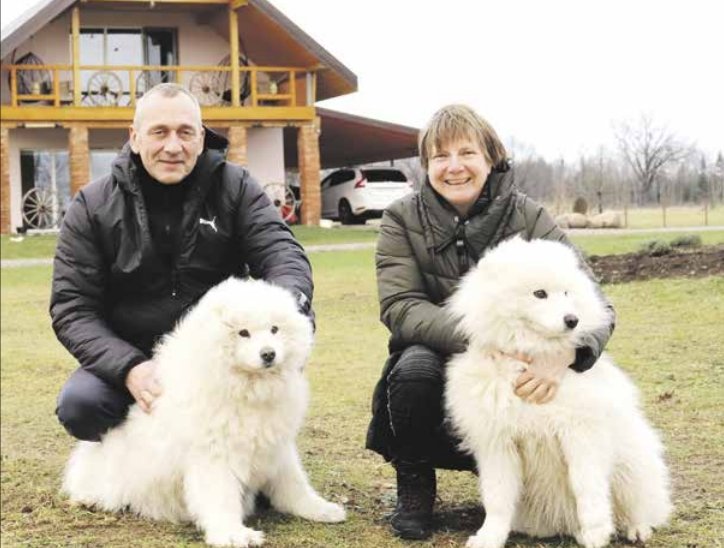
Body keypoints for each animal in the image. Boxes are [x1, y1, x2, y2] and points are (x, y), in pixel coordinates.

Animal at [63, 278, 345, 547]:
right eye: (243, 333)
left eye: (275, 329)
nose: (269, 354)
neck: (245, 389)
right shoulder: (214, 454)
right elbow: (221, 497)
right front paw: (232, 534)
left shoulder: (275, 445)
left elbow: (294, 484)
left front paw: (320, 509)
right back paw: (90, 498)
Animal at [444, 237, 671, 548]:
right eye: (539, 293)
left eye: (566, 292)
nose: (572, 320)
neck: (529, 355)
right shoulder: (498, 442)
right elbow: (497, 496)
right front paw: (489, 537)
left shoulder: (580, 431)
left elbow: (586, 485)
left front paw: (597, 532)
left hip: (631, 466)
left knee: (639, 506)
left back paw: (636, 529)